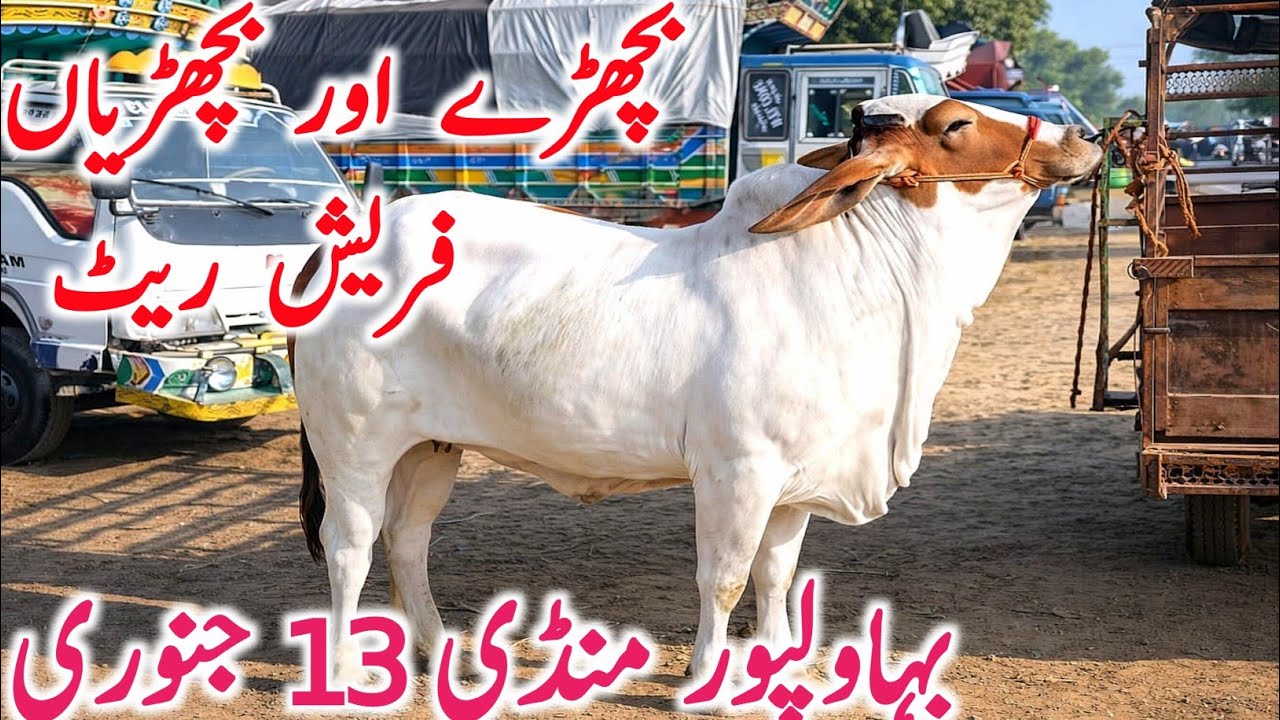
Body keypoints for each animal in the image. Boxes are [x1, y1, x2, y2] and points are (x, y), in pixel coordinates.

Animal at [289, 95, 1103, 684]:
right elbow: (726, 579)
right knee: (350, 548)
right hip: (353, 446)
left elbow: (776, 574)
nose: (1085, 137)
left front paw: (780, 663)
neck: (861, 271)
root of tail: (342, 244)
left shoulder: (797, 481)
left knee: (408, 541)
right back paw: (346, 669)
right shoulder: (738, 472)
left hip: (431, 446)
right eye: (956, 123)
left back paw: (436, 647)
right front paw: (710, 676)